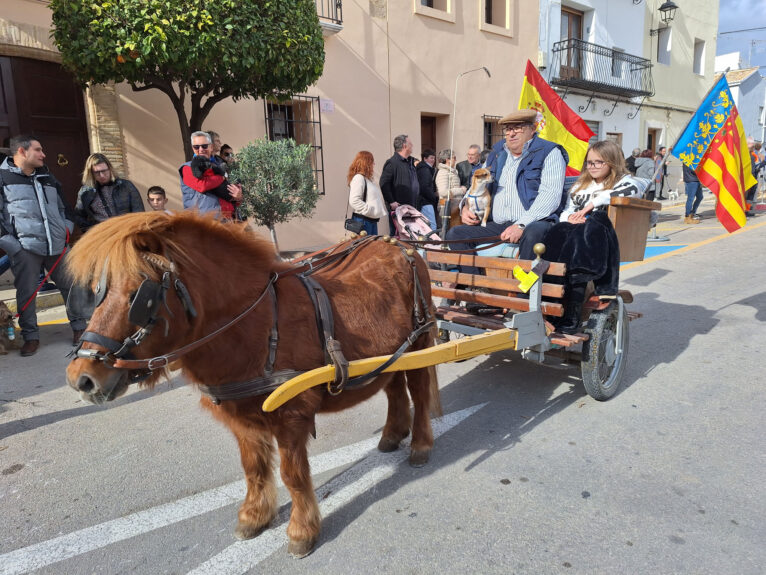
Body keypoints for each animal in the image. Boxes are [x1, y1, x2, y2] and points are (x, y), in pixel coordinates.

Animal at [66, 212, 444, 560]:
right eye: (98, 292)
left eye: (139, 295)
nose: (80, 378)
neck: (256, 324)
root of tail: (399, 244)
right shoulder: (242, 418)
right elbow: (254, 469)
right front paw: (254, 516)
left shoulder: (291, 417)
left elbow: (292, 475)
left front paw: (301, 530)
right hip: (392, 353)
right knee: (394, 388)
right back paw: (392, 435)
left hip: (420, 342)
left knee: (419, 391)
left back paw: (420, 445)